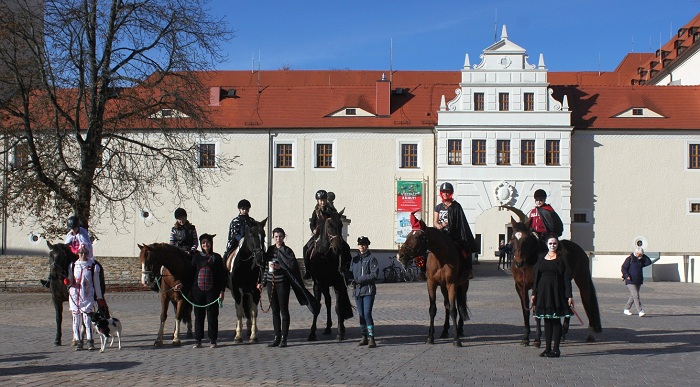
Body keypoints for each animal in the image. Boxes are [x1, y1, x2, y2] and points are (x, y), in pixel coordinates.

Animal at [306, 211, 352, 342]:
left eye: (341, 225)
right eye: (329, 225)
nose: (338, 248)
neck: (325, 256)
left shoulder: (338, 283)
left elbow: (338, 307)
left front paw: (340, 333)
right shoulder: (317, 284)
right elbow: (317, 307)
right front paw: (312, 333)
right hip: (324, 286)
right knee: (327, 301)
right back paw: (327, 327)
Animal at [508, 217, 600, 348]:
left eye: (526, 238)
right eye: (512, 237)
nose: (518, 262)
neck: (529, 262)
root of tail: (580, 250)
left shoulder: (537, 287)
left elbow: (536, 313)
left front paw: (537, 339)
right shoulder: (521, 288)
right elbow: (525, 312)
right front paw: (525, 338)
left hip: (582, 280)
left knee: (587, 299)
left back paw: (590, 333)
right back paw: (562, 334)